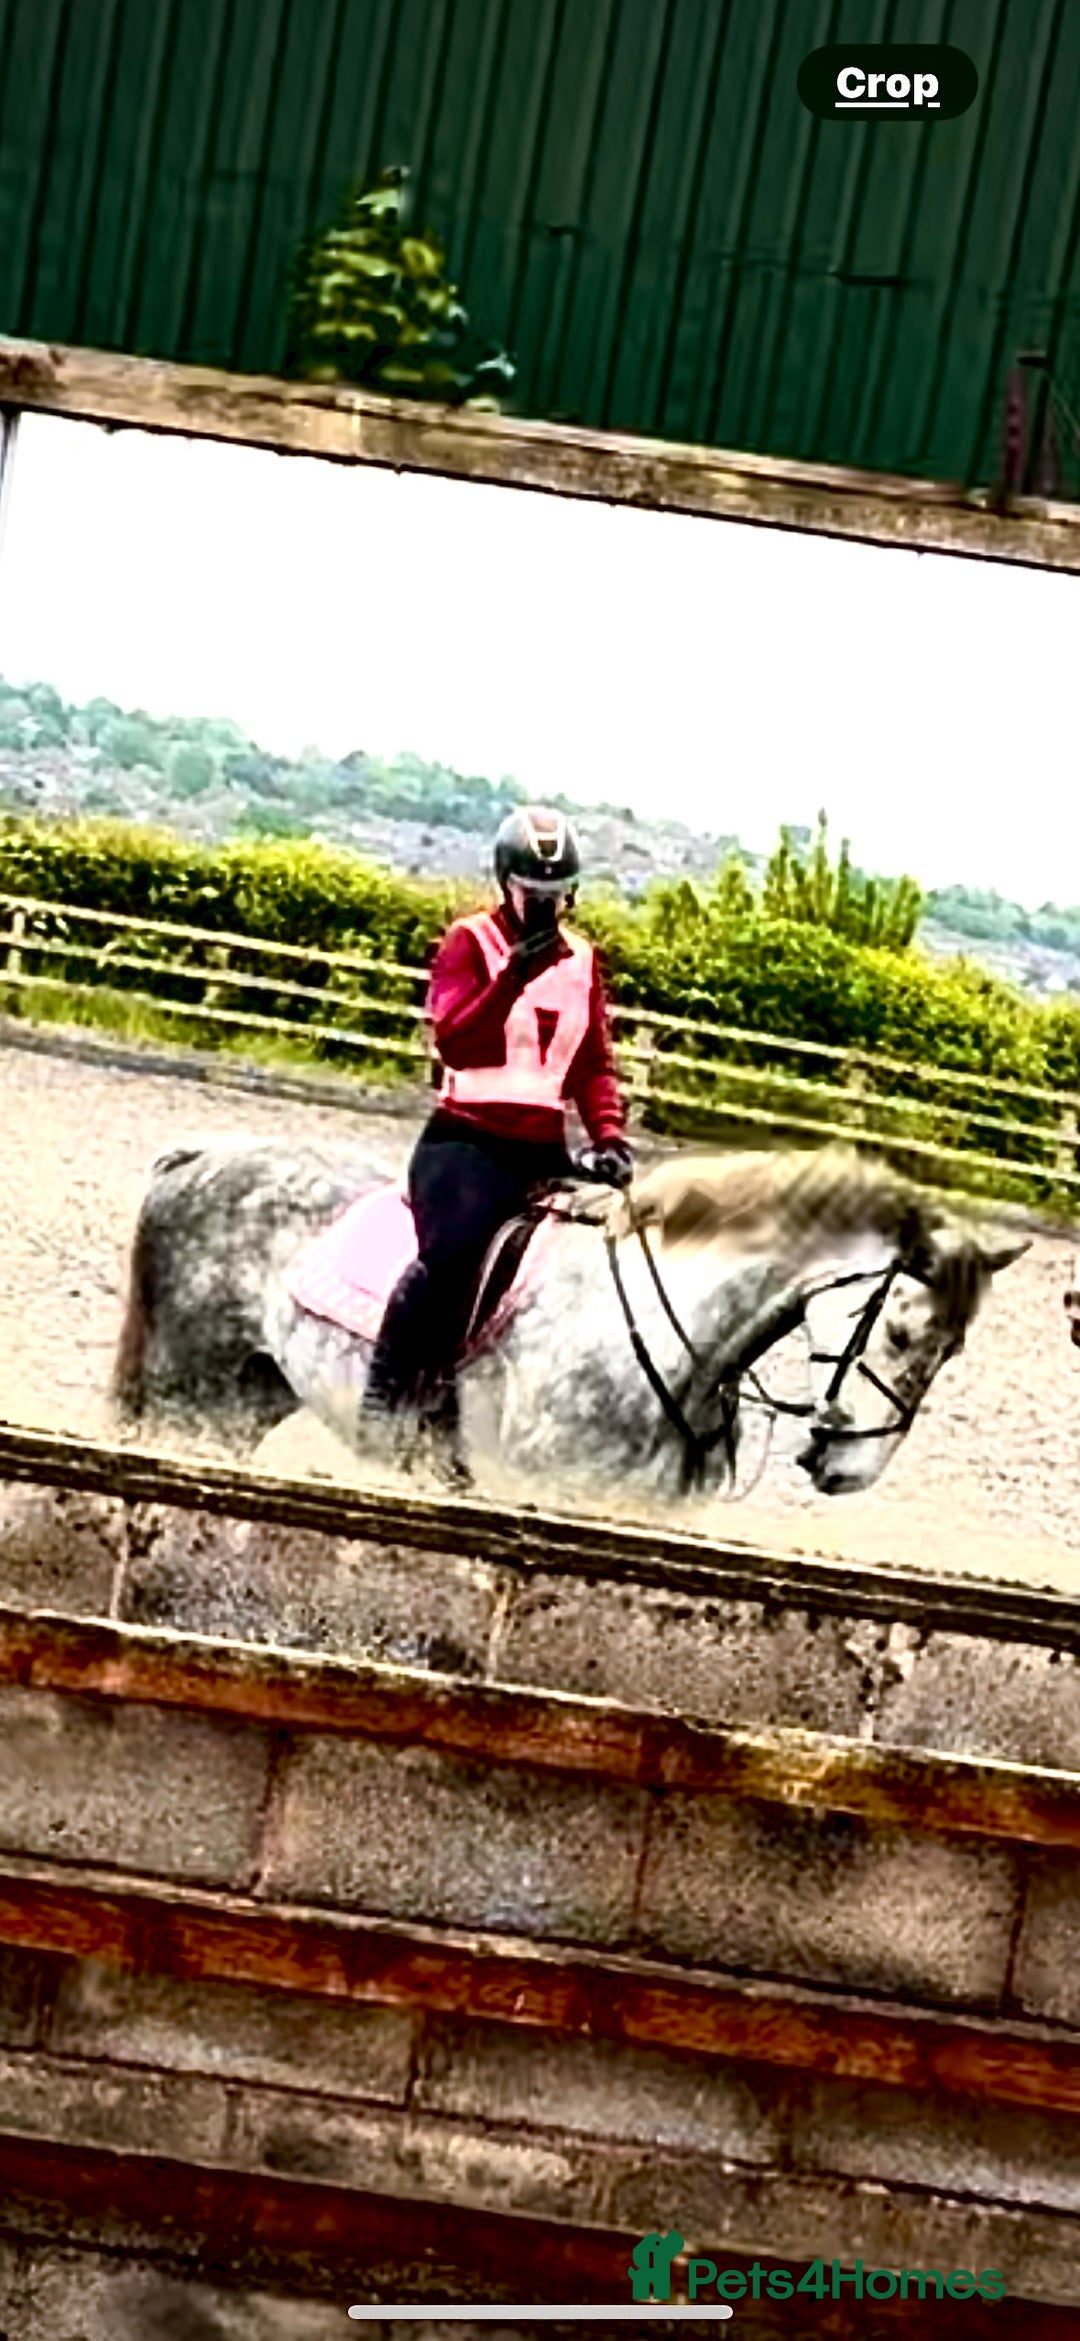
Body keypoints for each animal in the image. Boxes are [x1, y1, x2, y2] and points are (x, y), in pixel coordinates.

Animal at [111, 1136, 1028, 1506]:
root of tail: (202, 1155)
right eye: (901, 1333)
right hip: (186, 1392)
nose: (852, 1470)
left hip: (243, 1397)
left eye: (952, 1353)